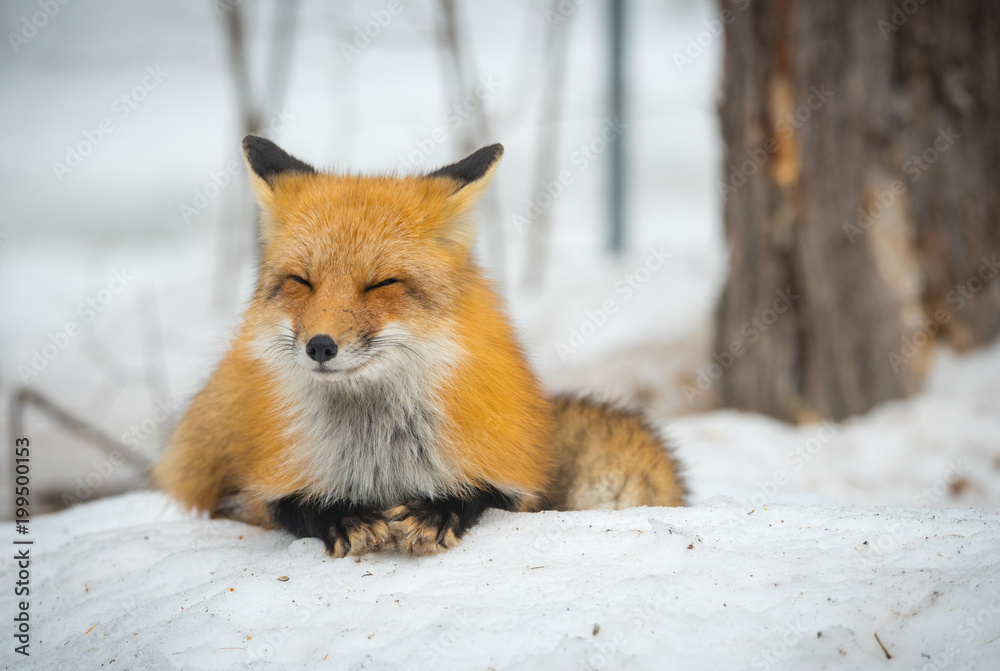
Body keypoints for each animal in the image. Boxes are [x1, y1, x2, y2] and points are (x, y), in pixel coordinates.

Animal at [153, 135, 684, 557]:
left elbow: (481, 494)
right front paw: (343, 516)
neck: (377, 453)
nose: (320, 346)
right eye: (302, 281)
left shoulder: (511, 477)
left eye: (381, 284)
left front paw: (437, 511)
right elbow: (290, 506)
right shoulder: (262, 485)